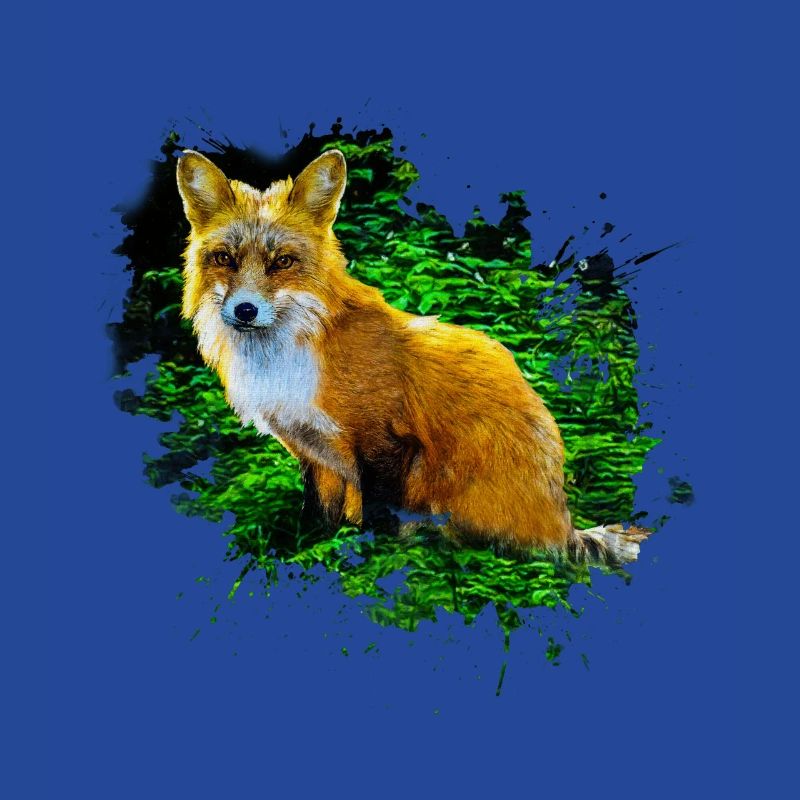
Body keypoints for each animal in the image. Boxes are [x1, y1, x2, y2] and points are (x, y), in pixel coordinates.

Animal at [175, 148, 648, 564]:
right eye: (224, 258)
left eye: (283, 262)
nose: (245, 310)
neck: (293, 355)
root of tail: (562, 525)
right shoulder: (314, 454)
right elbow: (317, 518)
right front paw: (311, 553)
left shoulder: (387, 443)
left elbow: (379, 518)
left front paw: (369, 563)